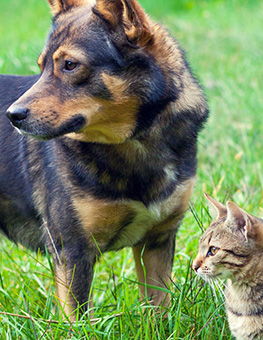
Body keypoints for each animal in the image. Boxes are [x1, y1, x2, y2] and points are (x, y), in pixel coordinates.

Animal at [0, 0, 208, 320]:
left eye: (70, 65)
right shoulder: (72, 250)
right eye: (41, 68)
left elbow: (158, 309)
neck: (133, 143)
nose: (12, 115)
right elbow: (76, 319)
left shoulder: (157, 241)